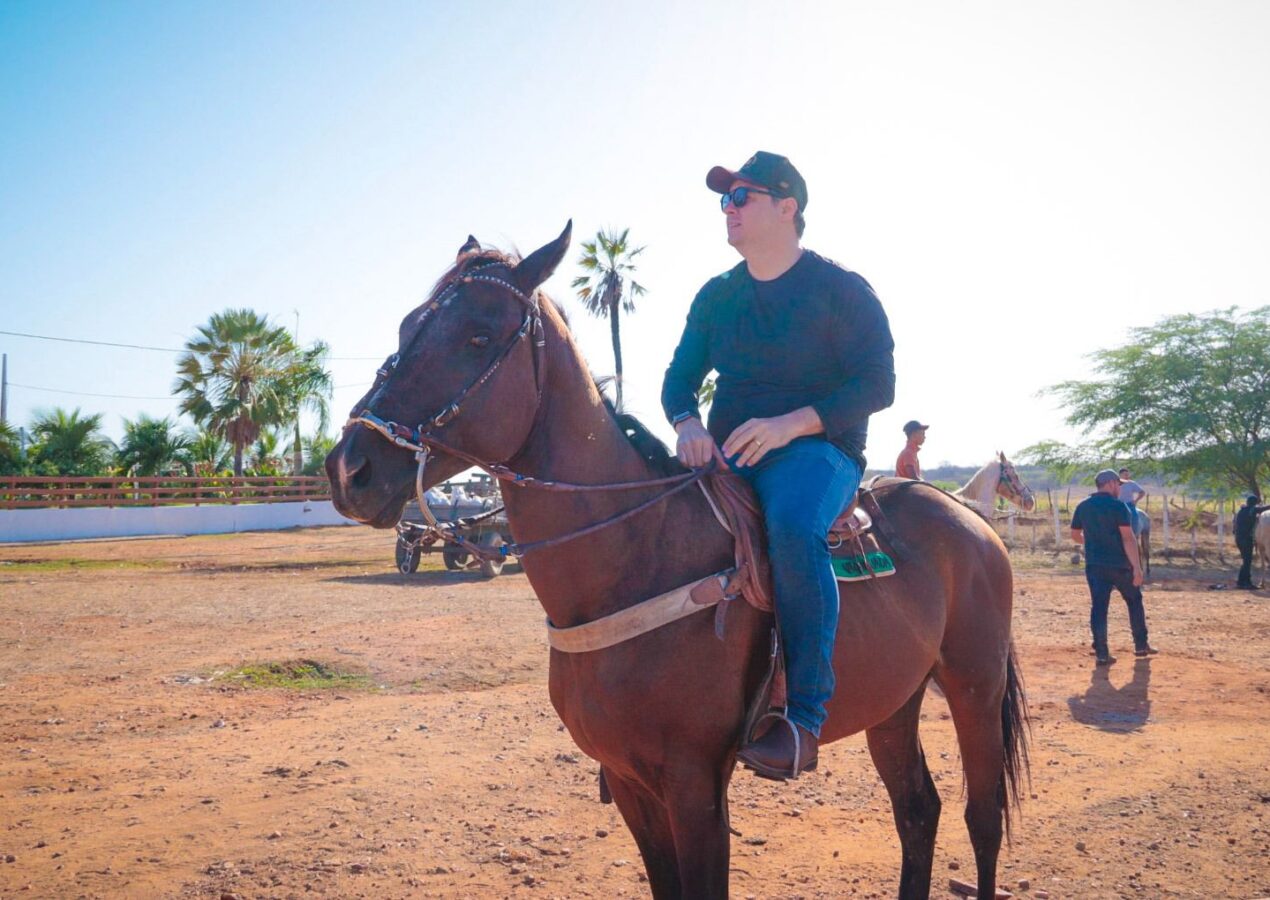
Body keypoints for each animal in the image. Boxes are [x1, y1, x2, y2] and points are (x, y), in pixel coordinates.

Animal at [322, 223, 1026, 898]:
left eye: (478, 335)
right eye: (407, 326)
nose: (349, 468)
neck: (636, 554)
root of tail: (969, 519)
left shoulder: (696, 789)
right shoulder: (630, 782)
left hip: (975, 687)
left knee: (981, 820)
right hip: (895, 703)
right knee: (918, 811)